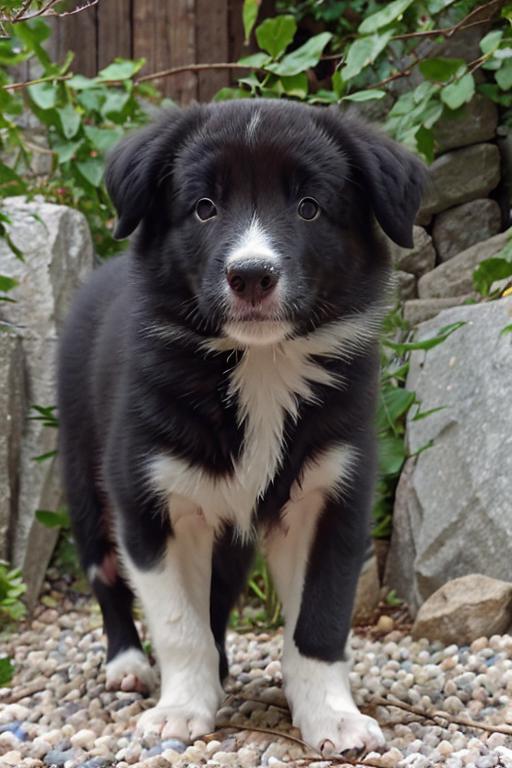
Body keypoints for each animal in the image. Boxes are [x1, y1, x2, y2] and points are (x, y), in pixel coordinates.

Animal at [56, 100, 426, 756]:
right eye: (205, 207)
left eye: (309, 206)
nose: (251, 275)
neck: (261, 364)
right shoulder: (152, 497)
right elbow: (179, 622)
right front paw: (181, 709)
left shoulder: (331, 492)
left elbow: (320, 621)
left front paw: (333, 717)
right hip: (84, 476)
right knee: (106, 576)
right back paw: (128, 664)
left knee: (220, 594)